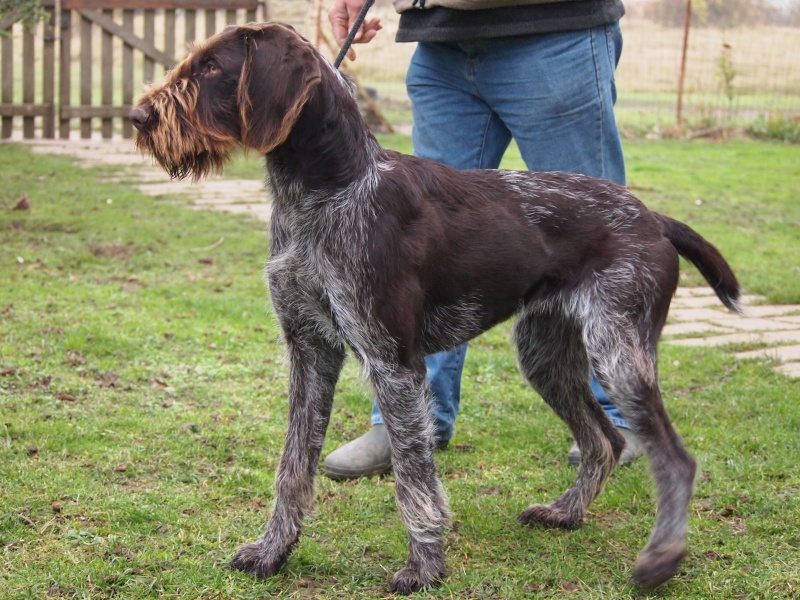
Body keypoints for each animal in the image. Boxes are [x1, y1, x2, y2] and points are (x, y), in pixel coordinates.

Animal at [130, 22, 736, 596]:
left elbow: (413, 479)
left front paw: (424, 567)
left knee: (673, 458)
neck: (327, 192)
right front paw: (272, 552)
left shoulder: (394, 363)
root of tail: (653, 218)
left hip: (619, 355)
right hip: (544, 353)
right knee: (603, 441)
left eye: (212, 67)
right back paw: (565, 513)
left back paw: (662, 558)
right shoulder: (310, 350)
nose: (138, 117)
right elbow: (292, 467)